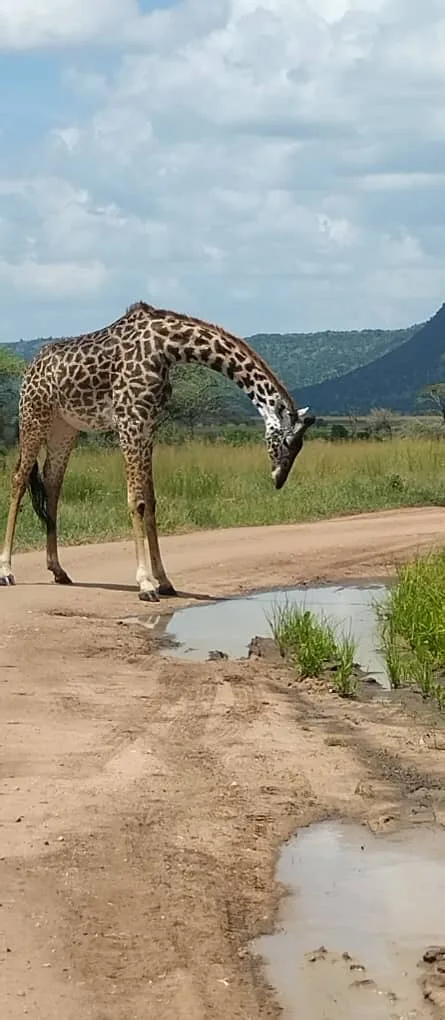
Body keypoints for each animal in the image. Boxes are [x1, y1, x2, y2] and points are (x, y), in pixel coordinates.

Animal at [0, 302, 315, 602]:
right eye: (288, 442)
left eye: (300, 446)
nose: (279, 479)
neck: (167, 348)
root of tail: (30, 368)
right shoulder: (130, 421)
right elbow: (136, 501)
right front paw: (146, 583)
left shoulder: (149, 426)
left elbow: (150, 501)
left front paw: (164, 581)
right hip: (34, 417)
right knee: (18, 480)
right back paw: (6, 570)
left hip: (64, 428)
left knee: (52, 484)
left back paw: (58, 570)